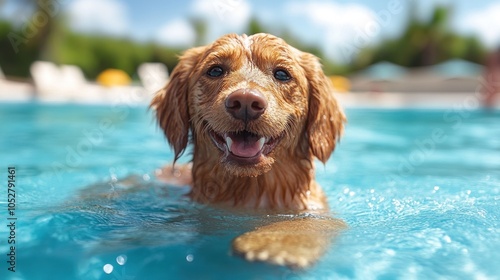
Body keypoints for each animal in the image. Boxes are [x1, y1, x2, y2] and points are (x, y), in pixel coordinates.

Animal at [152, 33, 346, 270]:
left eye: (282, 74)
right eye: (215, 70)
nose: (245, 101)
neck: (250, 191)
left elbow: (306, 222)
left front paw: (277, 244)